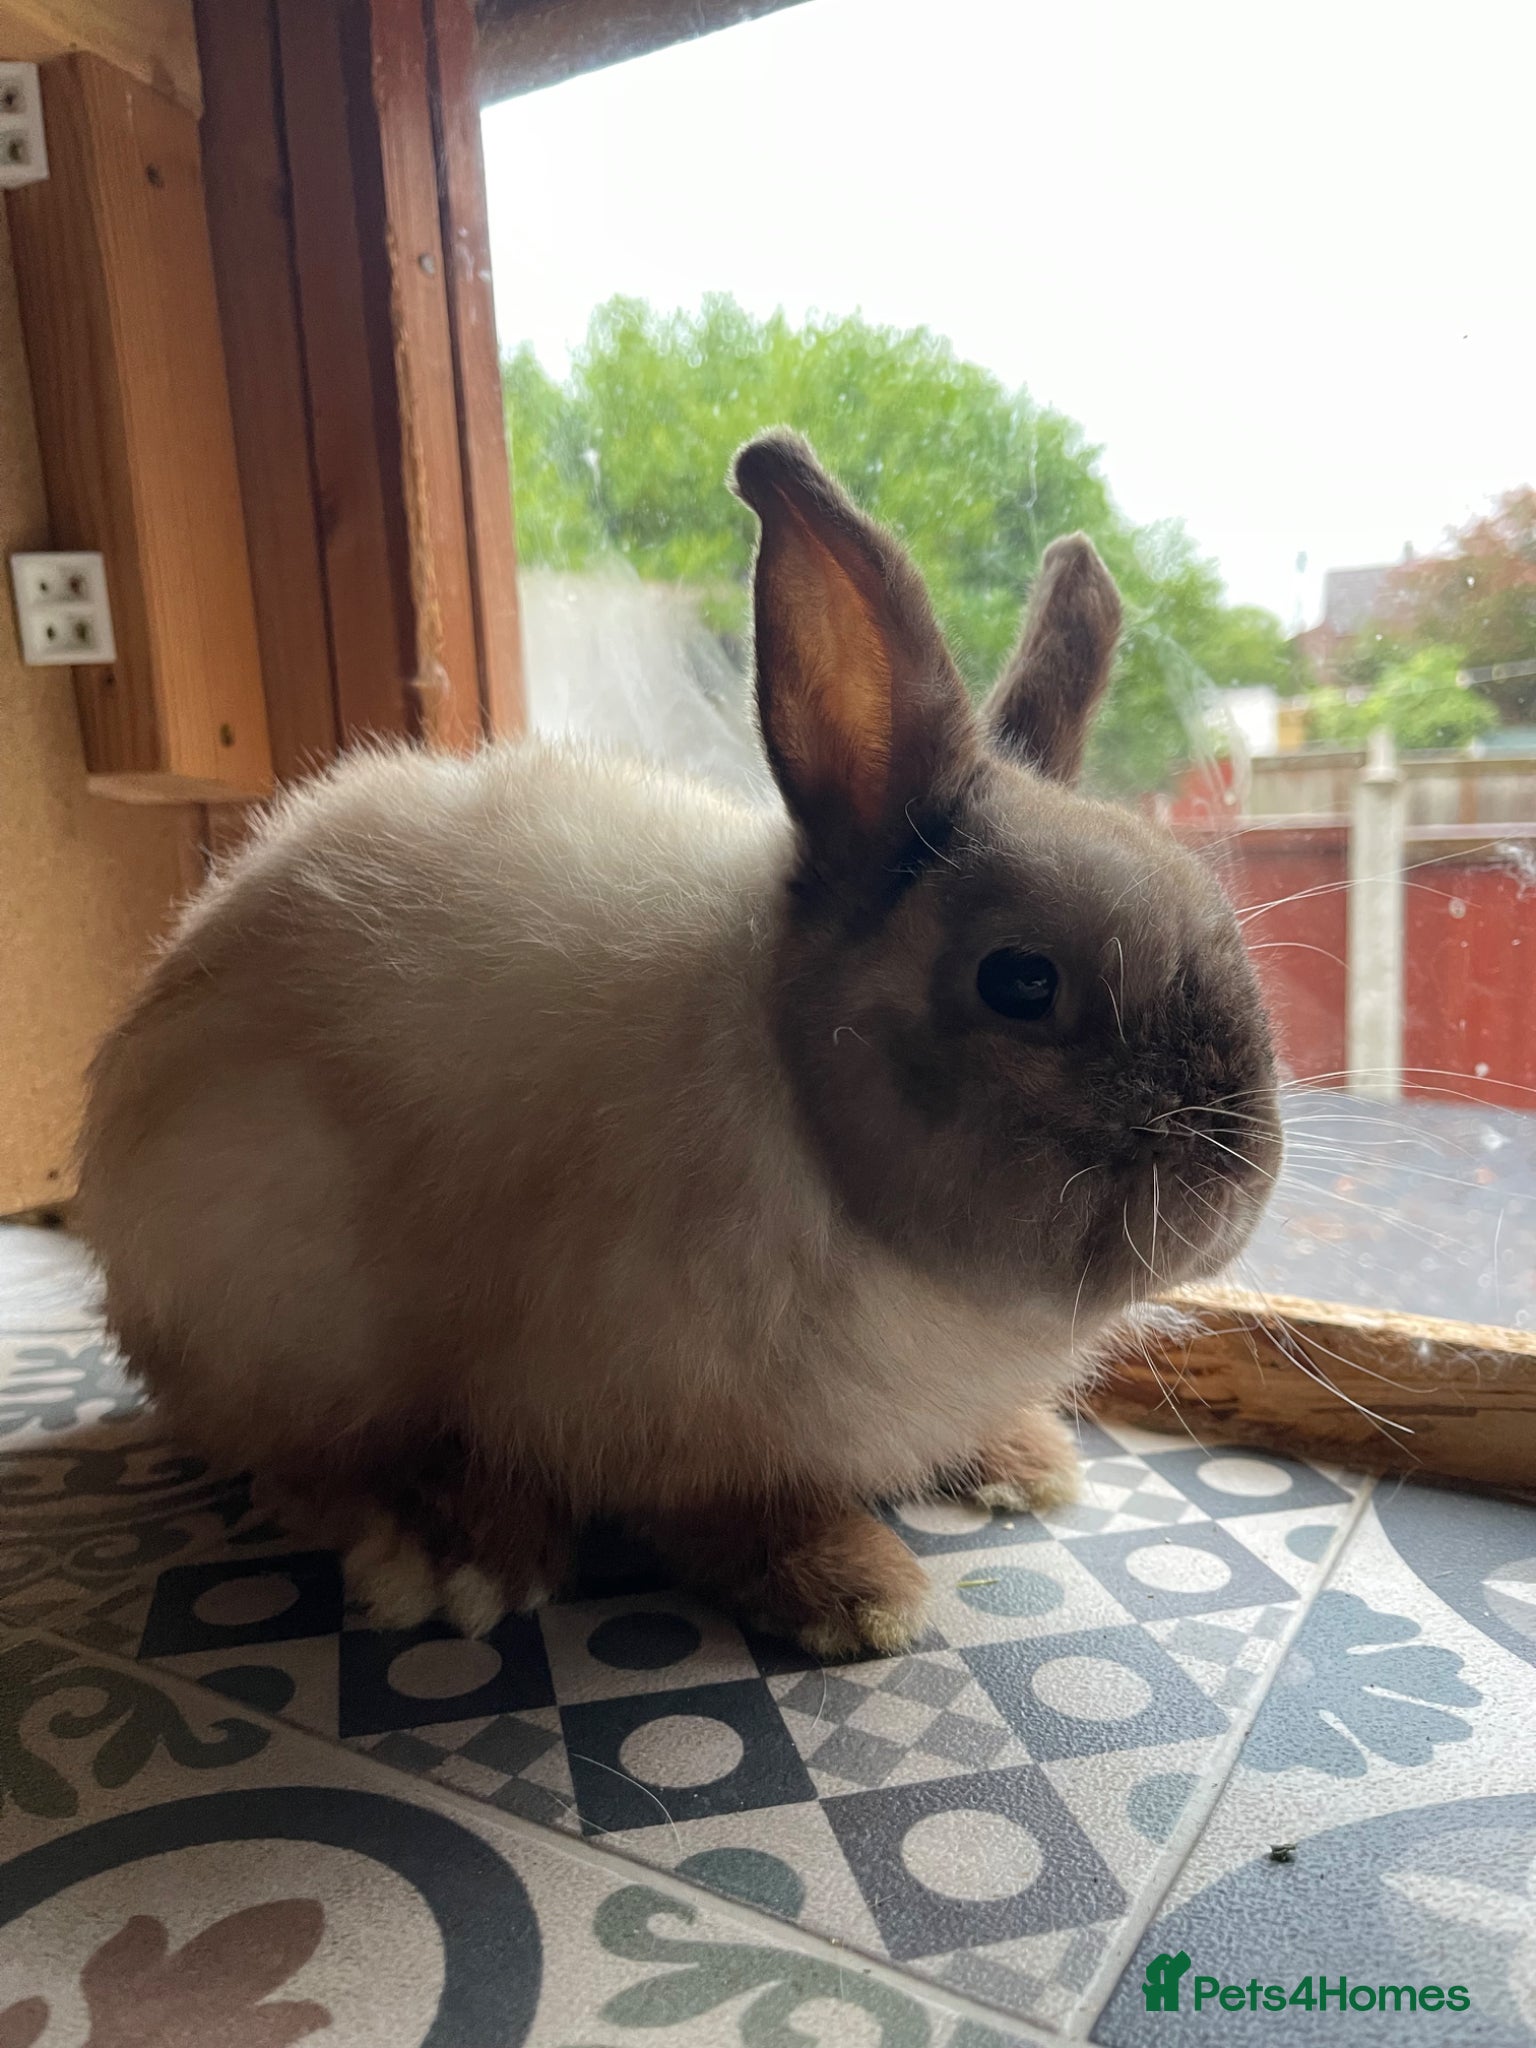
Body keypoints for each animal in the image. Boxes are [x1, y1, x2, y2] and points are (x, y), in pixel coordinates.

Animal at [75, 432, 1281, 1655]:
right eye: (1022, 982)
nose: (1238, 1182)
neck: (798, 1110)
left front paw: (1017, 1456)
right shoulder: (642, 1404)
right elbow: (725, 1514)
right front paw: (858, 1590)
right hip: (284, 1300)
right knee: (309, 1465)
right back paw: (457, 1554)